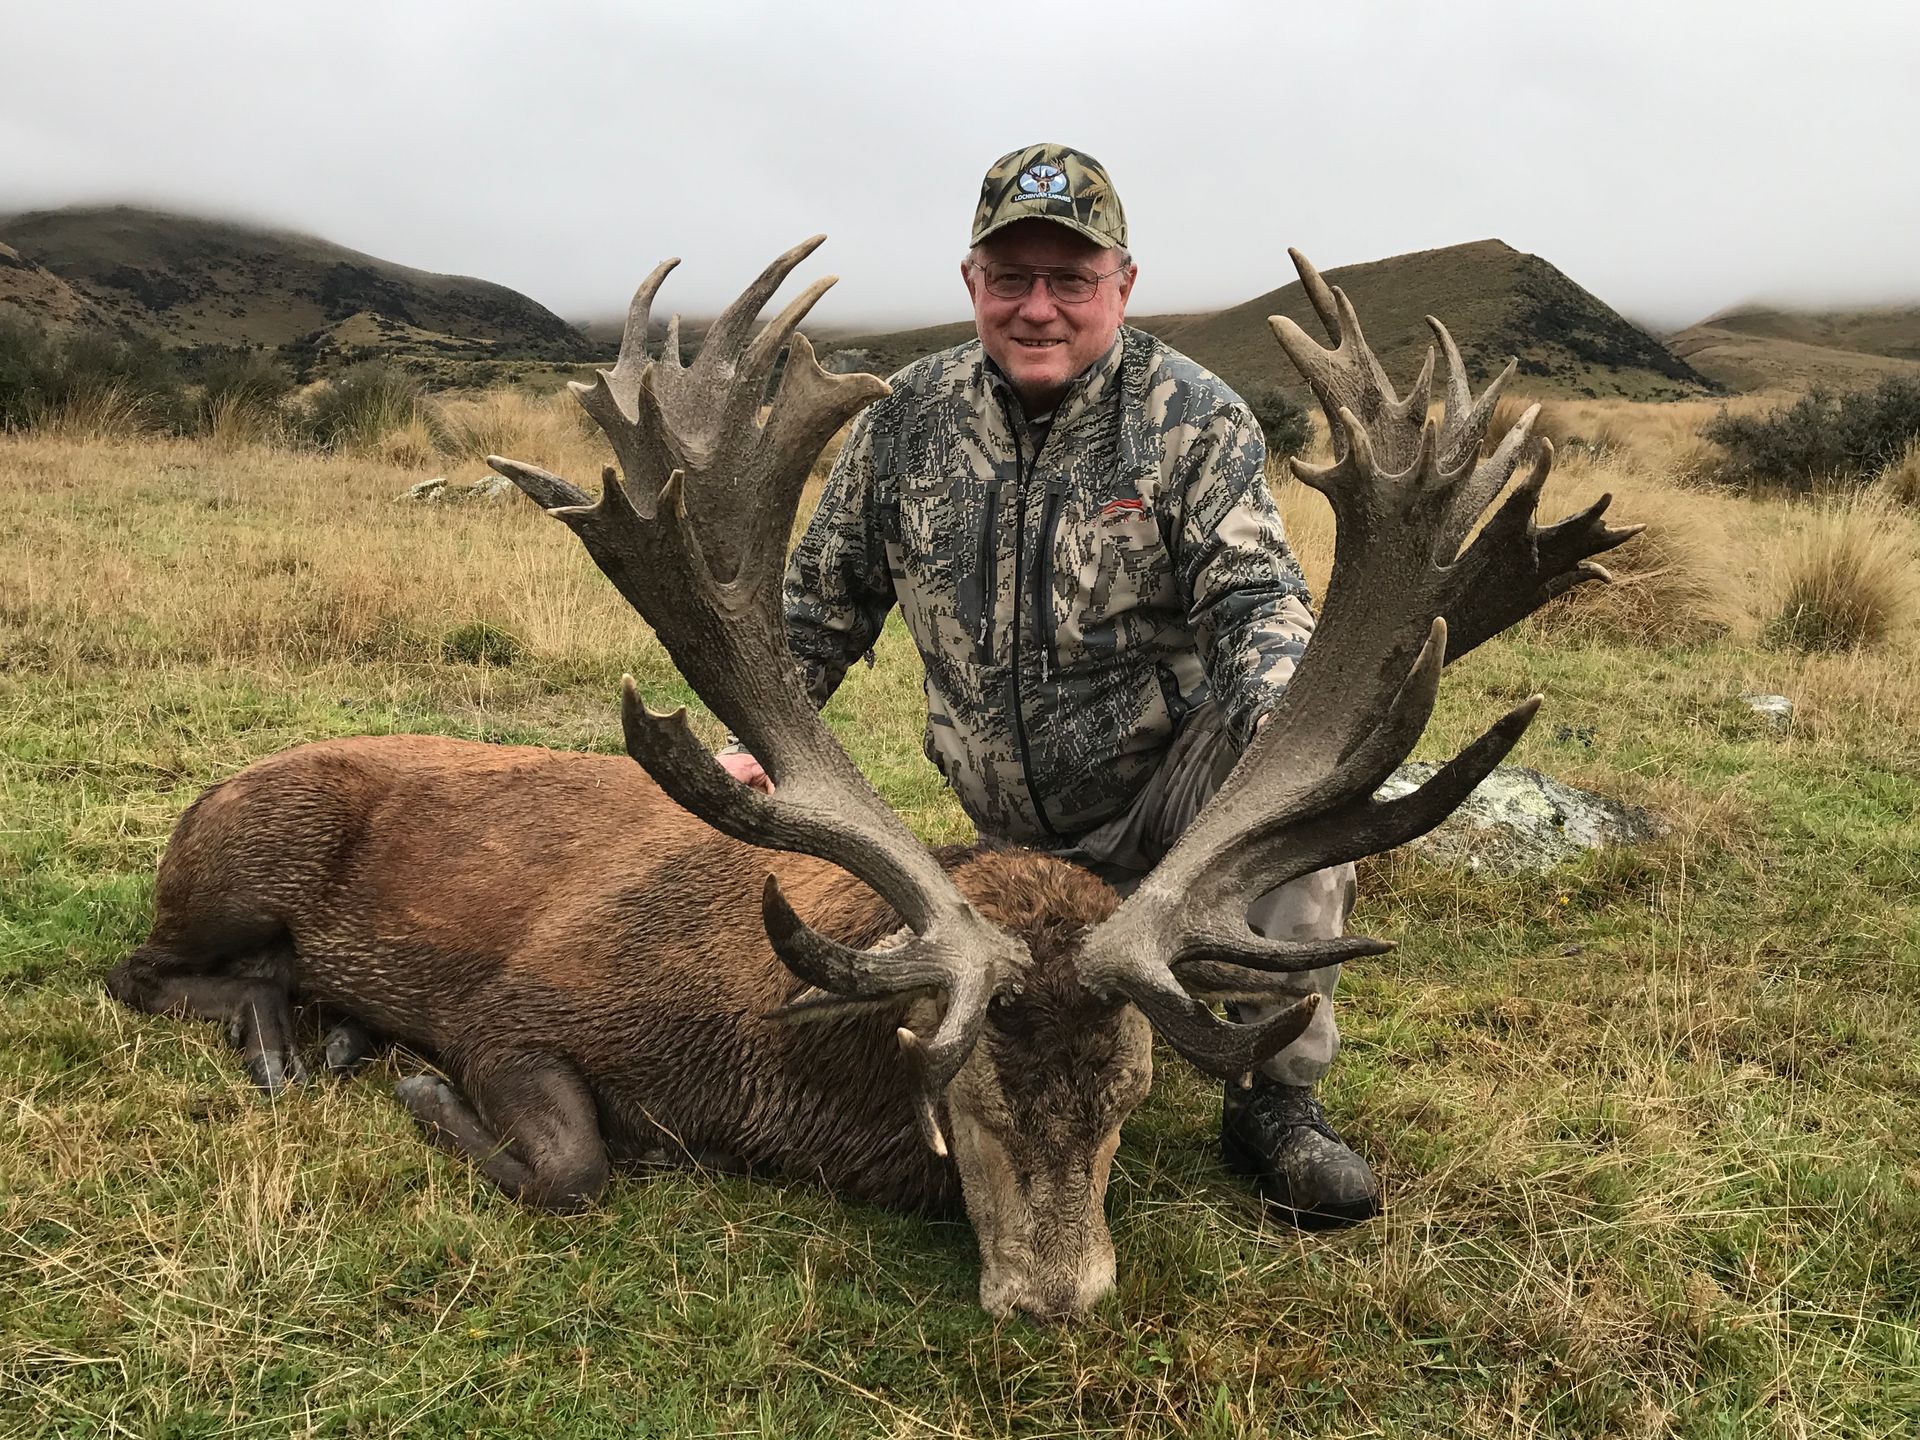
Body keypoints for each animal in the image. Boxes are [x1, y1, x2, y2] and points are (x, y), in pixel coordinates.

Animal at [107, 237, 1636, 1320]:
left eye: (1132, 1098)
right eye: (960, 1091)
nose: (1056, 1298)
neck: (770, 1074)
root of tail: (205, 806)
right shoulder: (517, 1010)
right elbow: (573, 1167)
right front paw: (422, 1095)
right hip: (238, 860)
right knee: (141, 970)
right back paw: (296, 1032)